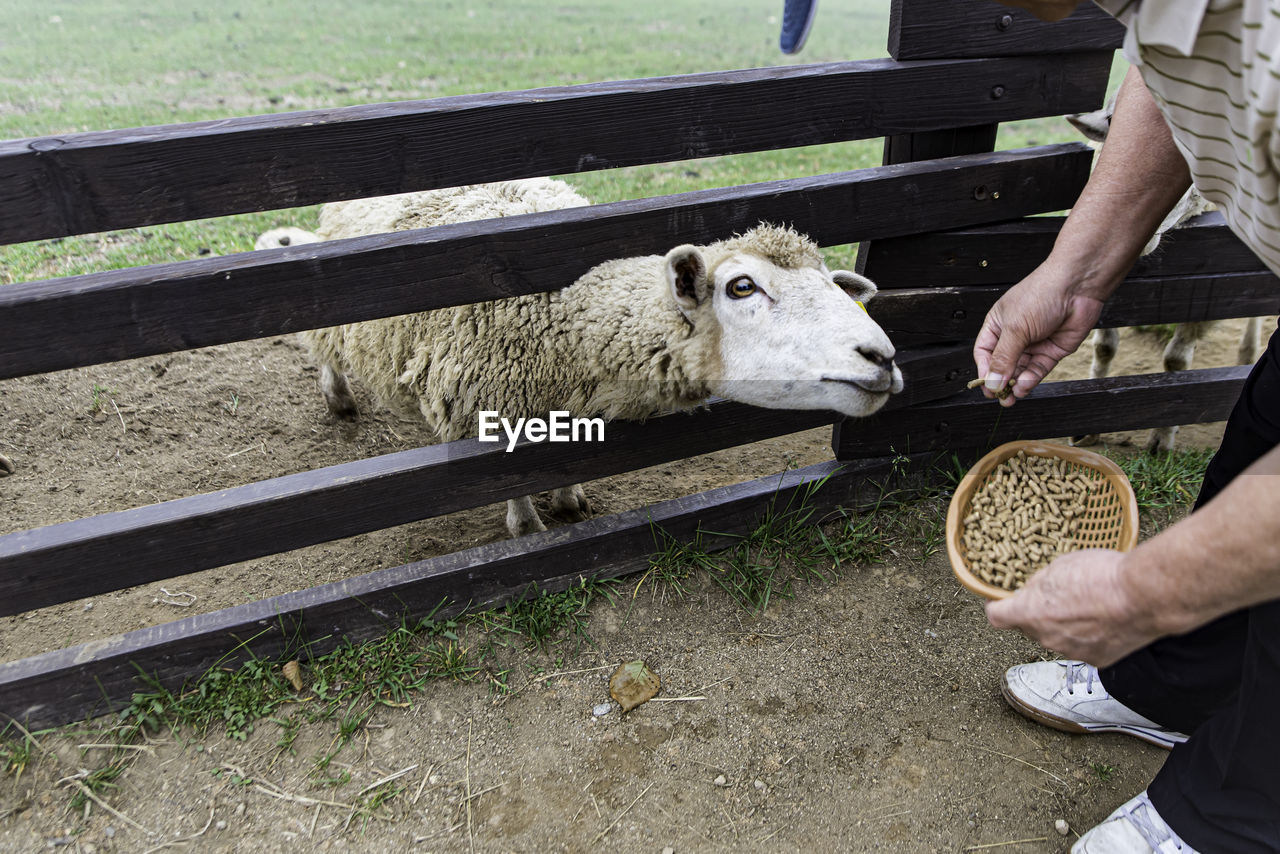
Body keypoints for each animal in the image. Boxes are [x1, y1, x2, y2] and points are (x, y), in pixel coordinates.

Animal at [257, 177, 901, 537]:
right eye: (742, 287)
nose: (883, 355)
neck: (565, 321)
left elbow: (568, 461)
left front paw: (569, 500)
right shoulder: (493, 412)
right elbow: (512, 483)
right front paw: (527, 526)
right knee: (327, 346)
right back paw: (339, 397)